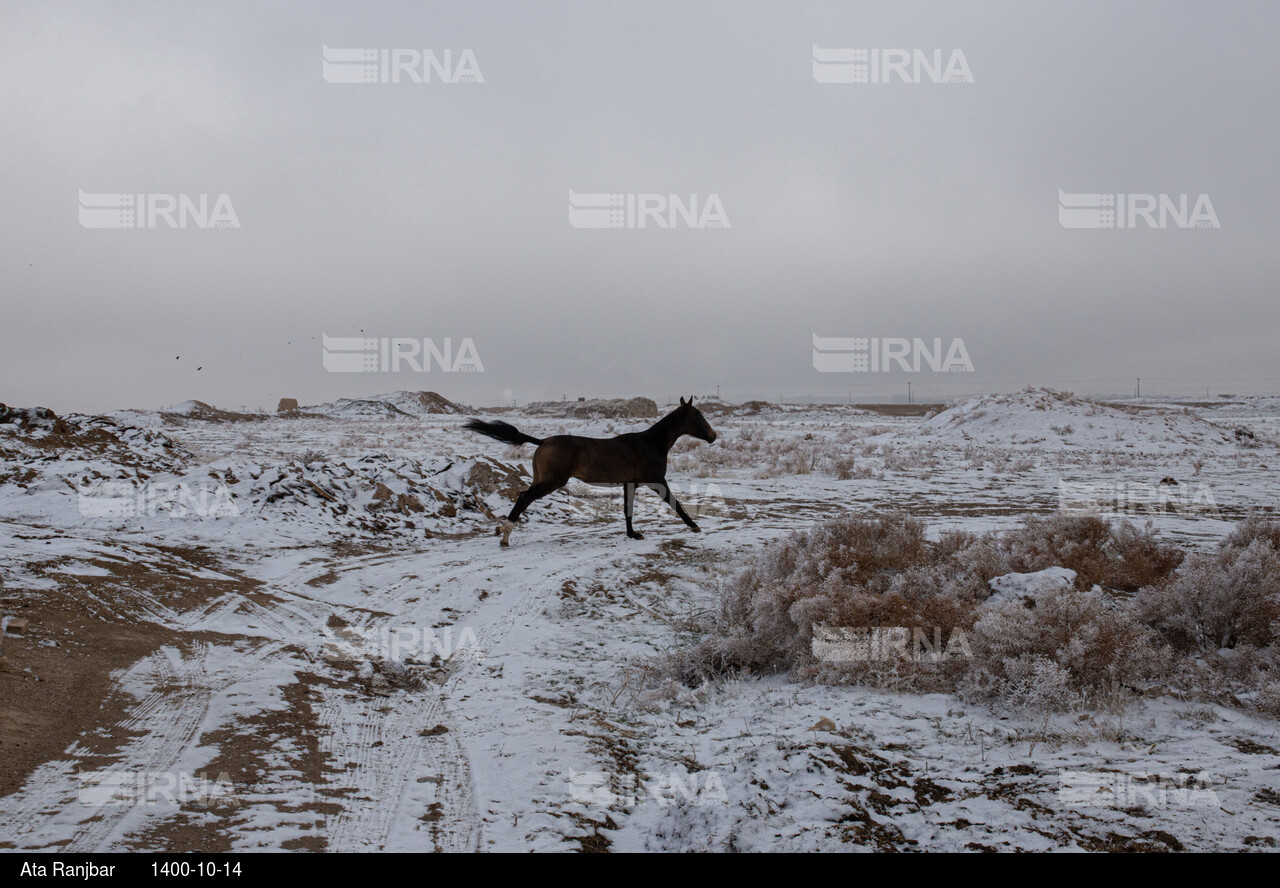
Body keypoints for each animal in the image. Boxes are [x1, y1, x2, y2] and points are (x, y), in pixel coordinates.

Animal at [463, 399, 721, 550]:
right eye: (697, 416)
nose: (714, 436)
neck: (651, 444)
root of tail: (543, 441)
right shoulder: (657, 482)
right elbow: (675, 503)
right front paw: (694, 526)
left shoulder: (629, 484)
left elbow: (628, 510)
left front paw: (633, 534)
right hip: (552, 481)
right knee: (524, 497)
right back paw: (505, 534)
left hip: (541, 479)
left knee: (523, 496)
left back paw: (502, 530)